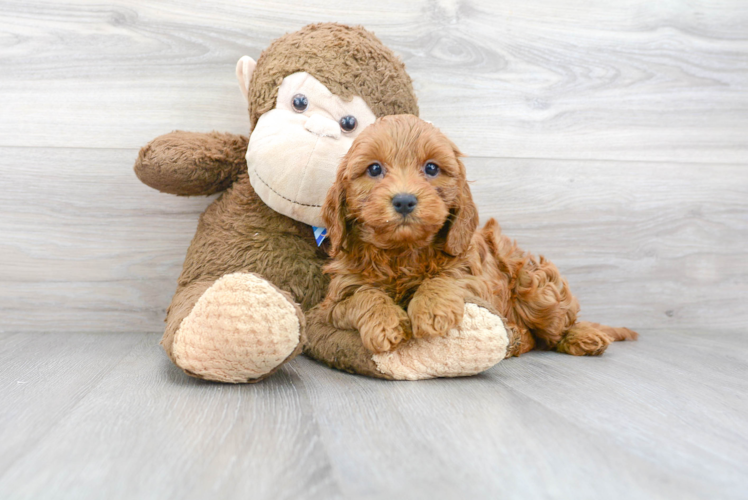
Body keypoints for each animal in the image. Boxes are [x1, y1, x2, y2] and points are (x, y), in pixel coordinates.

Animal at [318, 114, 640, 356]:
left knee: (556, 329)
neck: (402, 252)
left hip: (535, 288)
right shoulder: (333, 303)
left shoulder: (475, 275)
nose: (405, 201)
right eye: (374, 169)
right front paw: (386, 323)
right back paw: (516, 338)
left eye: (431, 168)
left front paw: (431, 308)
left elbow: (446, 277)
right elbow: (364, 296)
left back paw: (583, 336)